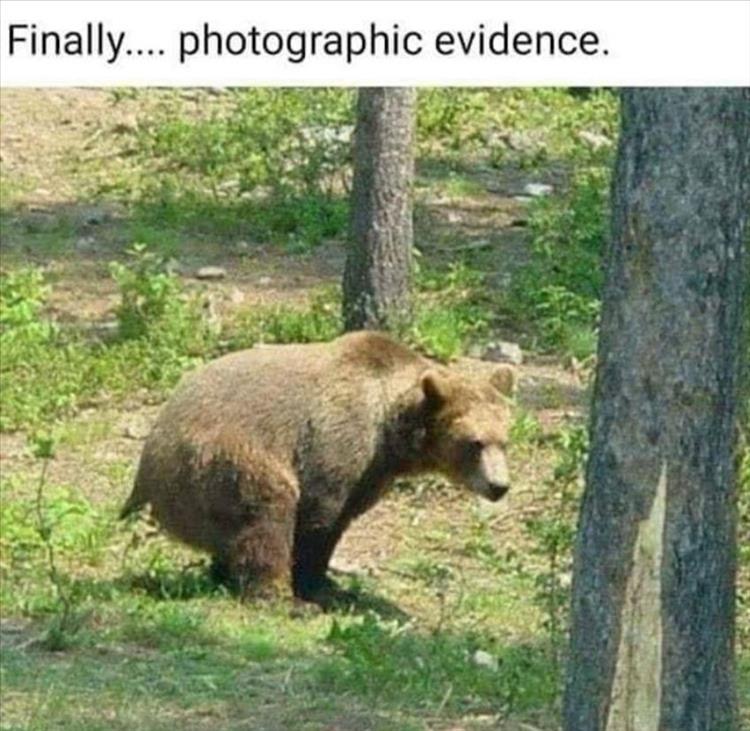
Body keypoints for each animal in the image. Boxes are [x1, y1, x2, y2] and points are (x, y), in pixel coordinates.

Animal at [119, 331, 515, 602]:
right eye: (474, 443)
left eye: (504, 439)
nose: (499, 486)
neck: (388, 426)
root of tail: (146, 467)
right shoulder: (337, 440)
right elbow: (319, 517)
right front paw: (315, 586)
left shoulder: (373, 471)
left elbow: (344, 515)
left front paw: (331, 584)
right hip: (219, 461)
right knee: (266, 515)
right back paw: (279, 596)